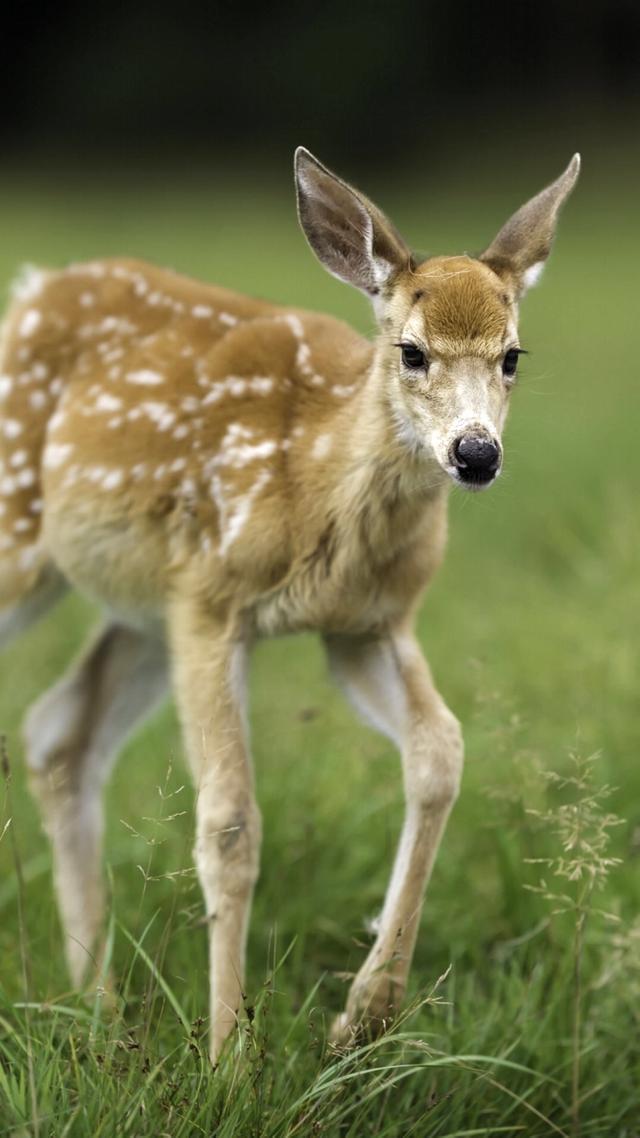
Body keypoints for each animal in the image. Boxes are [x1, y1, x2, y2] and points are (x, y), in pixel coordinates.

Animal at [0, 149, 578, 1056]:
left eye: (513, 355)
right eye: (412, 352)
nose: (476, 453)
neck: (316, 483)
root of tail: (31, 290)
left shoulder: (367, 625)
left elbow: (441, 755)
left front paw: (364, 1016)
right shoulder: (213, 602)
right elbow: (230, 823)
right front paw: (228, 1054)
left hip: (142, 603)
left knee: (60, 732)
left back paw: (97, 1005)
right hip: (34, 532)